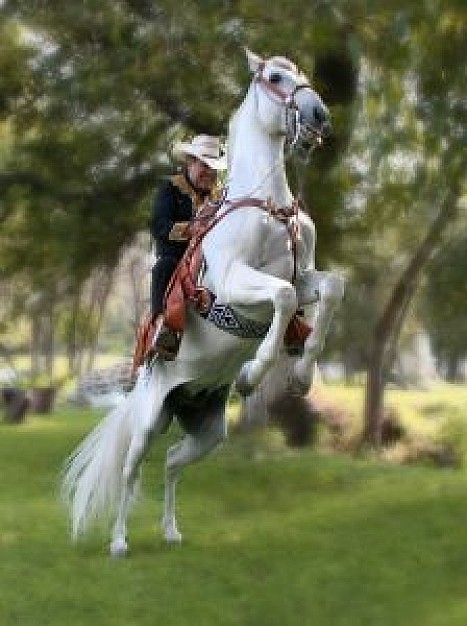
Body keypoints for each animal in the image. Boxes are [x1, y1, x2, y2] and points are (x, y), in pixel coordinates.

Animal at [62, 50, 346, 556]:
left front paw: (301, 375)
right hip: (148, 422)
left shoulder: (305, 277)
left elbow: (329, 288)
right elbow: (281, 296)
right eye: (275, 77)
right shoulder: (235, 282)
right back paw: (119, 542)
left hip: (208, 431)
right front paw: (253, 374)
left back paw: (172, 531)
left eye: (304, 76)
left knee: (173, 462)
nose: (318, 115)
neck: (268, 206)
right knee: (131, 471)